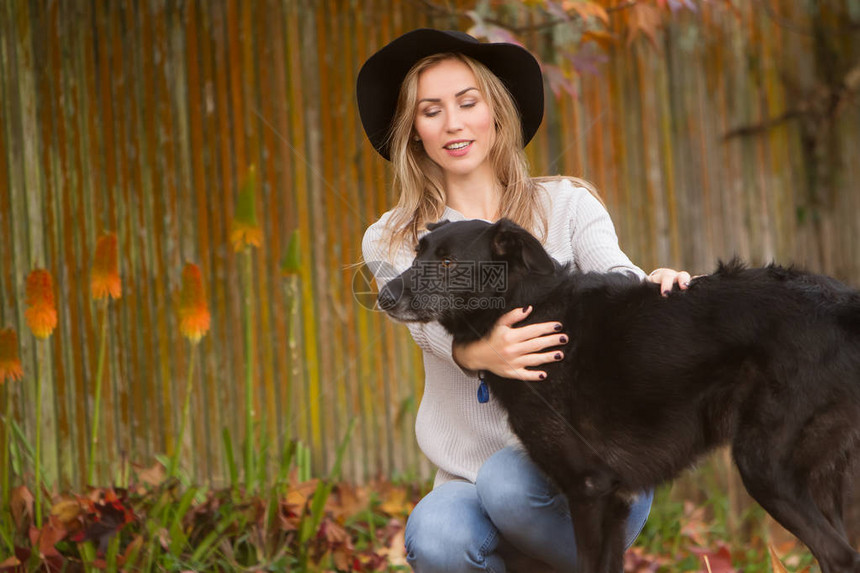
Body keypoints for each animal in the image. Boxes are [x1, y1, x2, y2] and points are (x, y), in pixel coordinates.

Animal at [380, 219, 860, 572]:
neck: (531, 309)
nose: (384, 296)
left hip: (765, 465)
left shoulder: (589, 489)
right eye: (418, 252)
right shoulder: (612, 501)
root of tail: (843, 307)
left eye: (447, 263)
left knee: (840, 555)